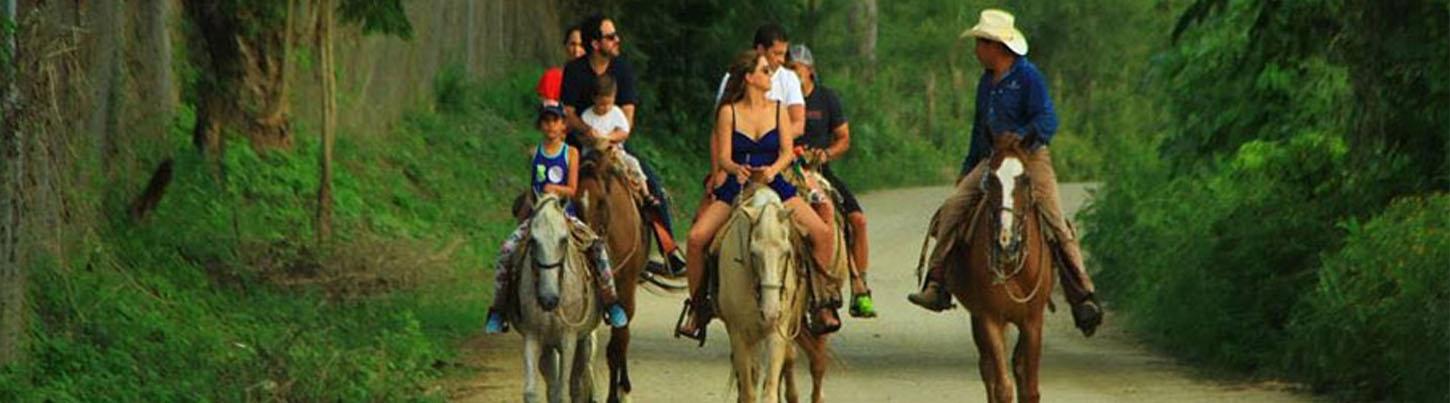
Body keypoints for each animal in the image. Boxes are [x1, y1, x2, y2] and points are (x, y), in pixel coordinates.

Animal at [514, 194, 604, 403]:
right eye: (533, 240)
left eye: (563, 240)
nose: (548, 299)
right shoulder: (533, 335)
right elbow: (532, 392)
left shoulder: (569, 337)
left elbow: (564, 391)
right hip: (549, 346)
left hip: (584, 342)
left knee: (578, 383)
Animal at [576, 140, 651, 403]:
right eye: (576, 202)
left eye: (601, 201)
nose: (586, 243)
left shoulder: (626, 288)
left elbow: (617, 345)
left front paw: (614, 394)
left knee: (623, 338)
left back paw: (624, 386)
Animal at [715, 187, 808, 403]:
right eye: (753, 253)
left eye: (786, 252)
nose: (770, 312)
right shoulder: (739, 334)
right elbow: (748, 391)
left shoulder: (777, 331)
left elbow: (770, 391)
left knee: (788, 358)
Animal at [944, 136, 1055, 403]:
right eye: (991, 179)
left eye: (1025, 179)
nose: (1006, 240)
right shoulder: (990, 317)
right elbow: (1002, 387)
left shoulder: (1033, 321)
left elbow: (1030, 387)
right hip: (980, 317)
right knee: (988, 369)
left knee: (1015, 366)